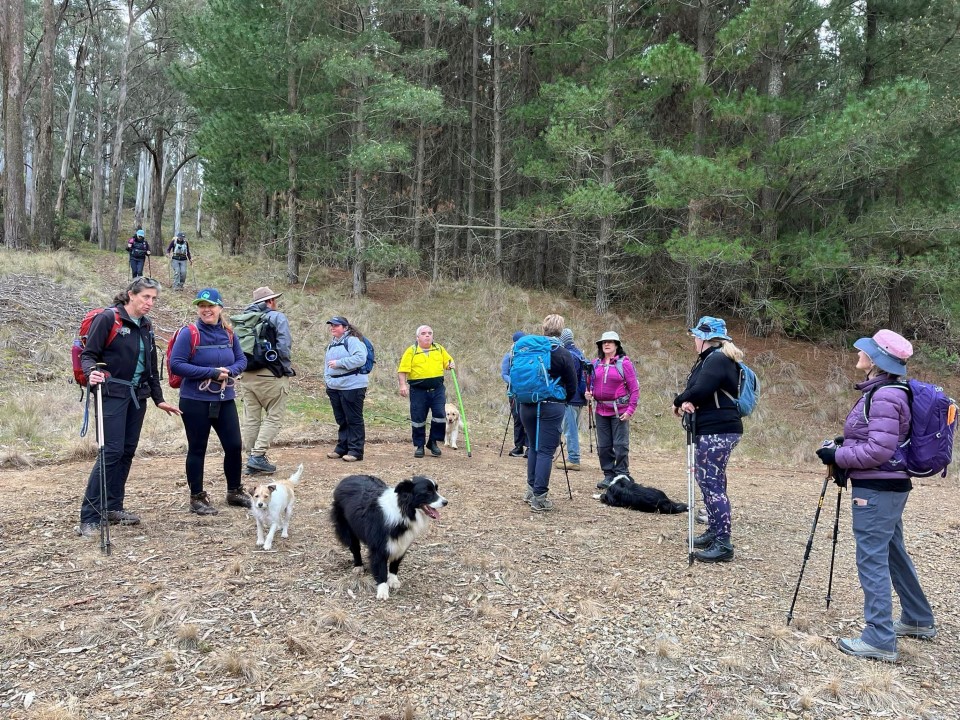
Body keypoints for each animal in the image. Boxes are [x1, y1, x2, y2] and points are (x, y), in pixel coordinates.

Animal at [332, 472, 448, 600]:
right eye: (427, 492)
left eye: (436, 489)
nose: (446, 502)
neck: (403, 511)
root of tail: (347, 478)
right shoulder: (379, 545)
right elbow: (381, 567)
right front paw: (383, 591)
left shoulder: (401, 542)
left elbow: (395, 563)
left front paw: (393, 581)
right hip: (347, 527)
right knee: (355, 547)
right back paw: (358, 566)